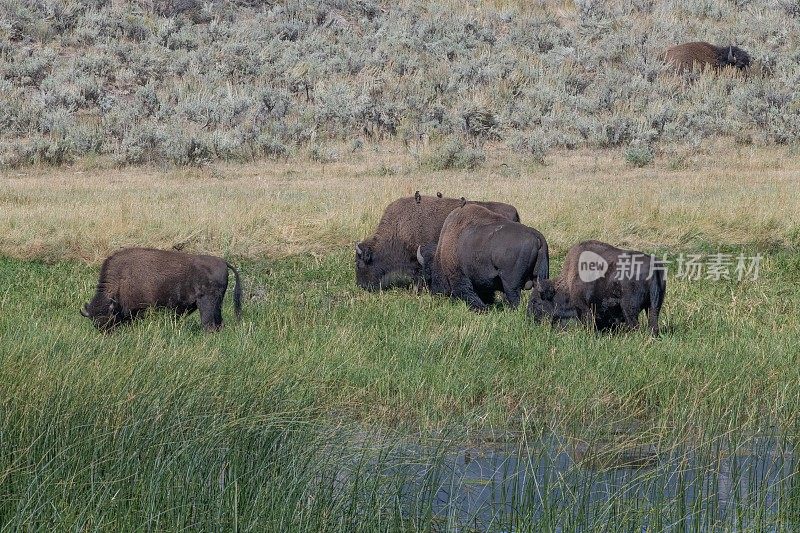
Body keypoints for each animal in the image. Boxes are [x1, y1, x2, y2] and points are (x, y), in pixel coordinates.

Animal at [81, 247, 245, 330]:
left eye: (109, 321)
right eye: (95, 323)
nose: (106, 334)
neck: (122, 279)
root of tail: (223, 262)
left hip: (206, 303)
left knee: (208, 323)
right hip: (218, 304)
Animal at [412, 204, 552, 312]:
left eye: (429, 275)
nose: (436, 295)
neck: (441, 255)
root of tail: (535, 234)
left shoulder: (460, 278)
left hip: (510, 284)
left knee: (514, 298)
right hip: (541, 277)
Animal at [528, 240, 664, 334]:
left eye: (536, 301)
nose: (530, 318)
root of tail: (653, 266)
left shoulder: (584, 307)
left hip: (629, 308)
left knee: (635, 325)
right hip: (653, 307)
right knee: (653, 324)